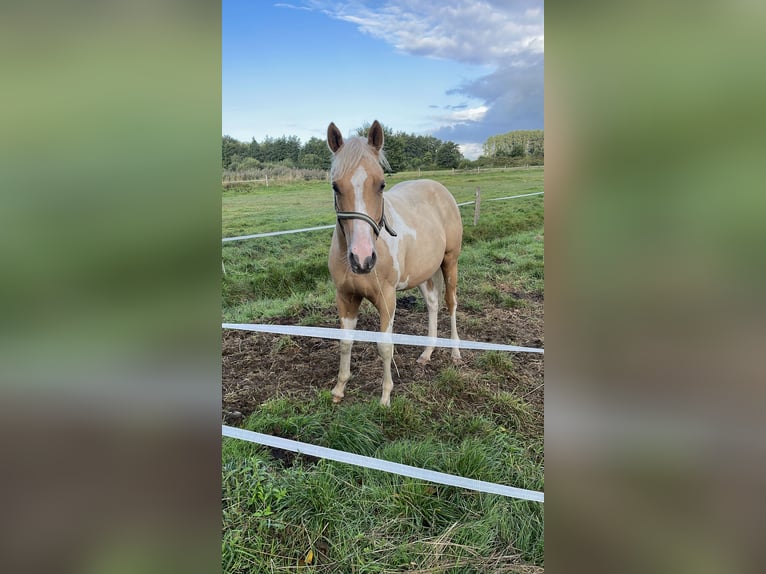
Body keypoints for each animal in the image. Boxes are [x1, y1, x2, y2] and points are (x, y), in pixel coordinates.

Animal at [326, 120, 463, 407]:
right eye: (335, 186)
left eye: (381, 184)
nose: (362, 259)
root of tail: (439, 188)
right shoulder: (345, 297)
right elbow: (345, 342)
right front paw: (339, 388)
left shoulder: (386, 298)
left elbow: (385, 345)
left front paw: (385, 396)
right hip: (423, 273)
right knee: (432, 304)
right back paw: (427, 353)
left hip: (450, 262)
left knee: (451, 303)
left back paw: (456, 352)